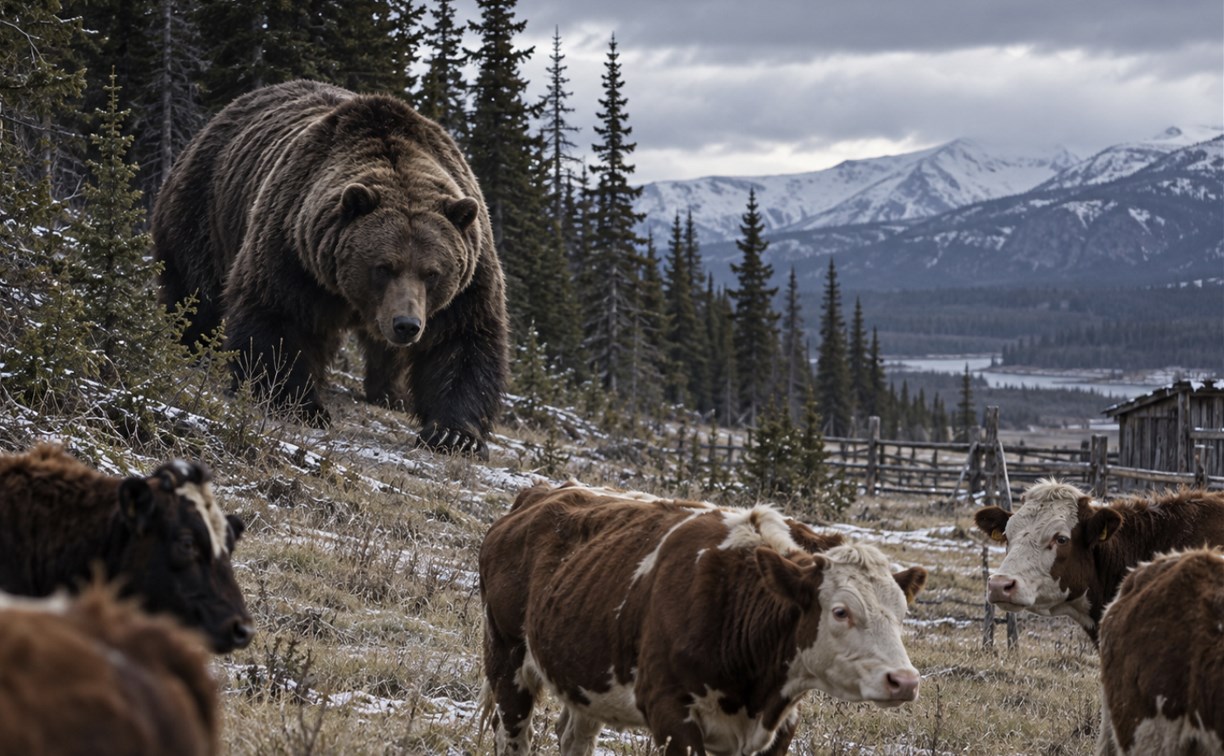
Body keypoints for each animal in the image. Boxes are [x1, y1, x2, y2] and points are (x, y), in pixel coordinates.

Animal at [151, 80, 508, 458]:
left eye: (432, 272)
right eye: (383, 267)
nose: (406, 325)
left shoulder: (470, 270)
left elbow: (462, 340)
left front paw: (454, 435)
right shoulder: (294, 248)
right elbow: (278, 315)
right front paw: (300, 405)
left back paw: (390, 394)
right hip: (205, 209)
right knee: (195, 290)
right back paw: (191, 348)